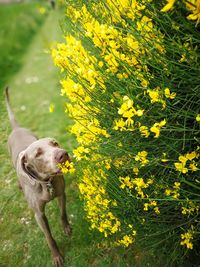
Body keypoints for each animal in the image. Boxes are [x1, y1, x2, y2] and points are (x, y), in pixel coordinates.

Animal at [4, 89, 72, 267]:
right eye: (38, 154)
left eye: (54, 143)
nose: (63, 155)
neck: (46, 182)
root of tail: (17, 128)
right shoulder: (39, 215)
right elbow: (49, 237)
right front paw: (56, 256)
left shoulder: (61, 194)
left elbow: (63, 213)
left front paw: (66, 227)